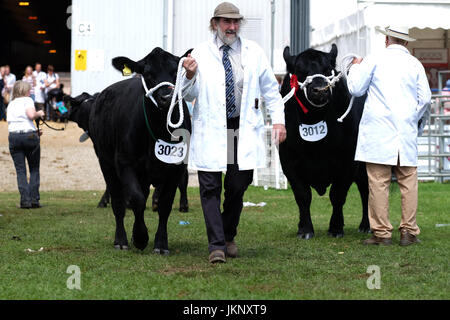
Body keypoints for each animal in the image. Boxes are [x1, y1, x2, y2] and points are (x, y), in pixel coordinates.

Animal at [85, 47, 192, 252]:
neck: (157, 128)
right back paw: (121, 240)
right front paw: (140, 237)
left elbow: (165, 203)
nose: (166, 98)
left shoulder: (177, 167)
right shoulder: (124, 163)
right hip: (106, 162)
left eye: (175, 72)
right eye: (148, 74)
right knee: (118, 202)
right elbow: (136, 199)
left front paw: (160, 243)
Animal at [280, 45, 370, 240]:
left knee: (366, 191)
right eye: (300, 70)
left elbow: (337, 195)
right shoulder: (288, 161)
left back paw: (366, 225)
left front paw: (335, 228)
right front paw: (305, 229)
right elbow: (303, 195)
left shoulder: (348, 162)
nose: (320, 90)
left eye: (328, 69)